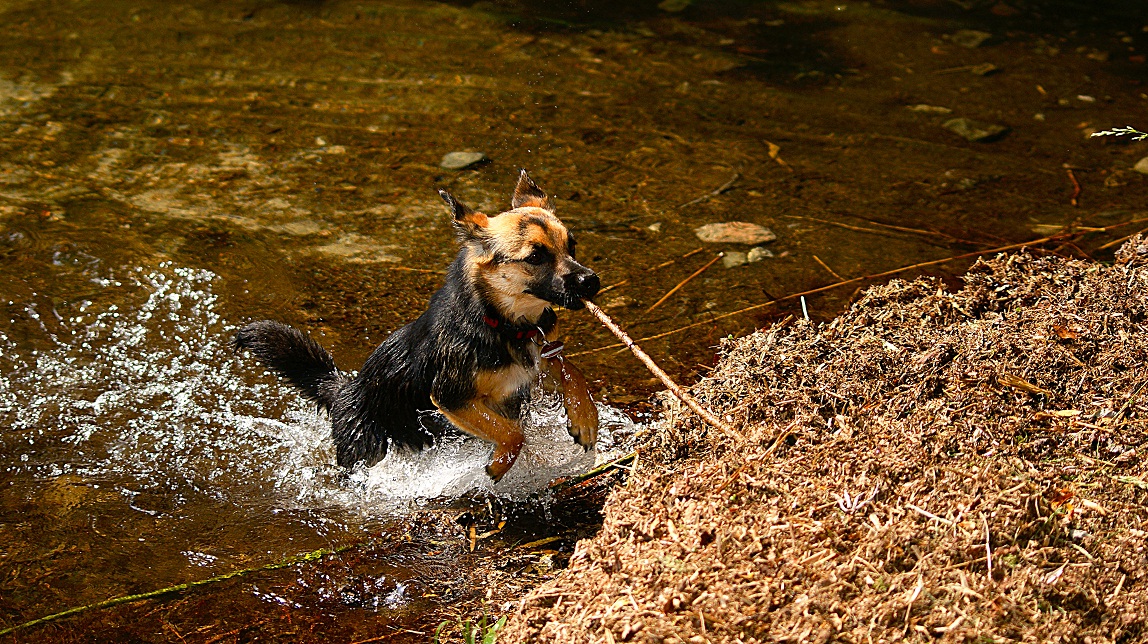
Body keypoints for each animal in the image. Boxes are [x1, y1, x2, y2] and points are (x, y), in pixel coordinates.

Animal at [233, 168, 601, 479]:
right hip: (368, 449)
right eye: (536, 256)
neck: (504, 322)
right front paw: (499, 463)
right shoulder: (451, 398)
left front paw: (585, 419)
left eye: (572, 245)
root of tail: (343, 391)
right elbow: (512, 431)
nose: (591, 281)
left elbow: (573, 372)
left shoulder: (545, 346)